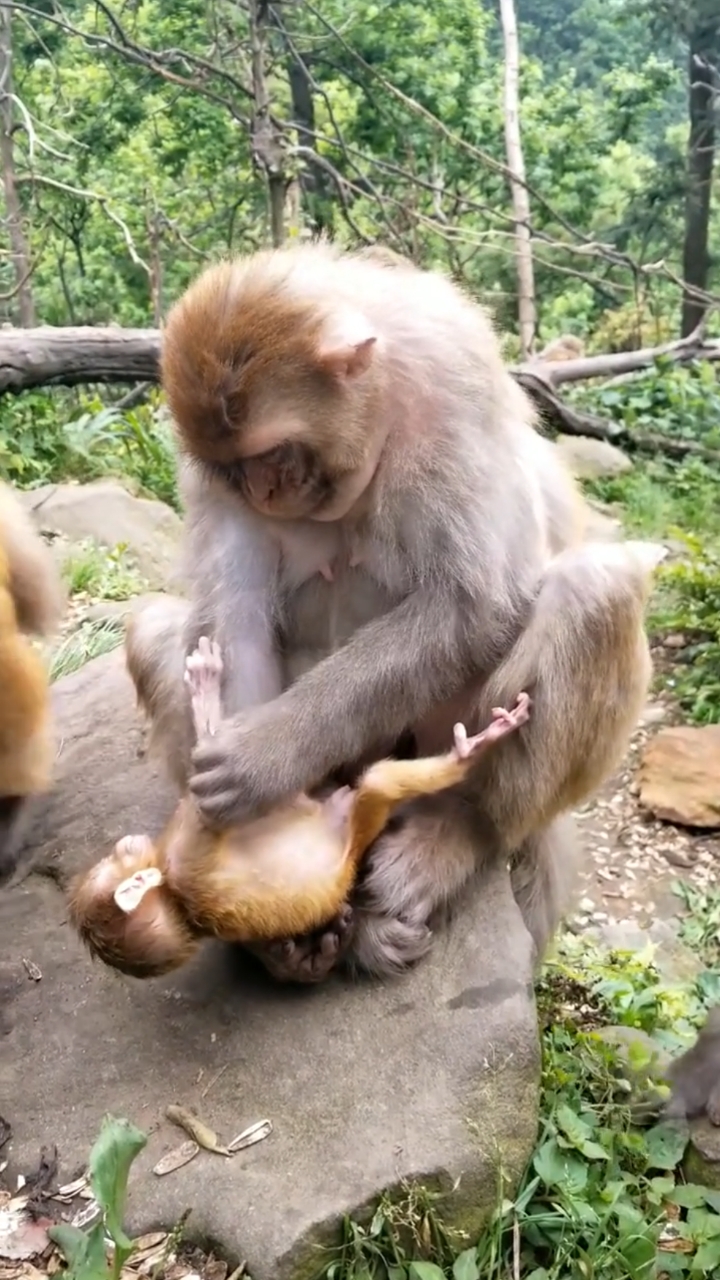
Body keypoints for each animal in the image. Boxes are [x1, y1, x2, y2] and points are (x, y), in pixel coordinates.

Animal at [68, 634, 527, 972]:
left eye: (115, 855)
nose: (126, 844)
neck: (174, 895)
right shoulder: (187, 855)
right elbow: (211, 788)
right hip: (360, 820)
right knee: (379, 783)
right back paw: (469, 752)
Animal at [126, 244, 661, 988]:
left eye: (273, 454)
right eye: (235, 470)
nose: (263, 490)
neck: (380, 401)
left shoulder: (450, 385)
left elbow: (473, 606)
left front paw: (264, 757)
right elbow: (234, 624)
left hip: (445, 731)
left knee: (596, 591)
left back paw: (457, 834)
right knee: (154, 630)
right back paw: (299, 937)